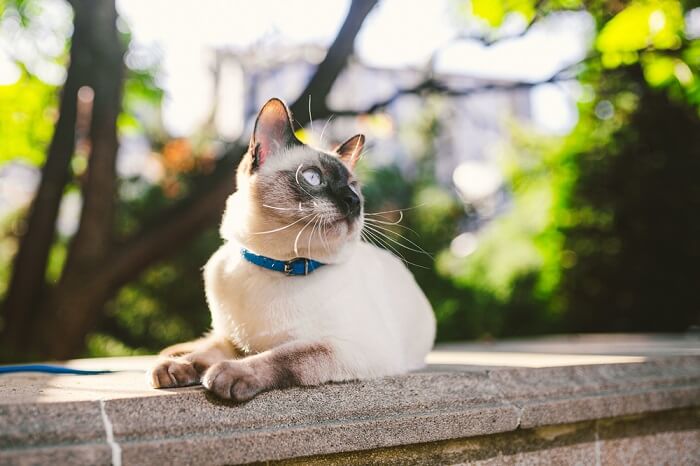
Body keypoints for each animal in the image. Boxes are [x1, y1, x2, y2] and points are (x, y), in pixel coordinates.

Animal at [148, 97, 434, 400]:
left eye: (354, 187)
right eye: (313, 177)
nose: (353, 201)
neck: (278, 263)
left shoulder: (350, 347)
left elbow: (285, 355)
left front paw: (228, 374)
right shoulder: (234, 340)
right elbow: (205, 354)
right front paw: (176, 368)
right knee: (205, 341)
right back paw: (171, 354)